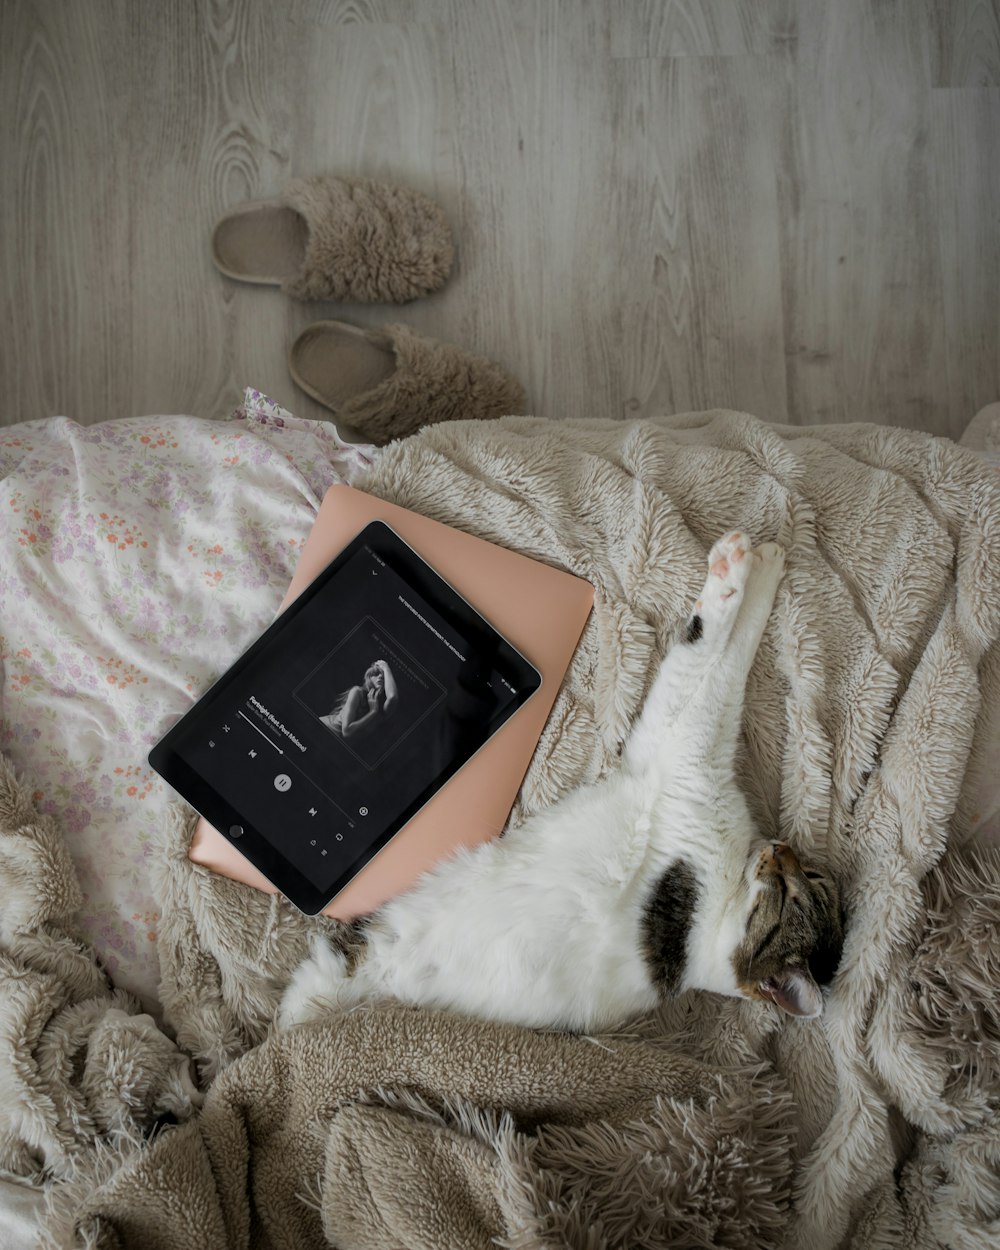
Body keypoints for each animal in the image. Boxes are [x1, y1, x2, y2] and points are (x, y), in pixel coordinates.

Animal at [278, 532, 845, 1030]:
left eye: (802, 892)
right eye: (816, 881)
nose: (783, 849)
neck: (718, 916)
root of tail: (380, 976)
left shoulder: (684, 745)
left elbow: (716, 656)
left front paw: (738, 569)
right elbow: (733, 650)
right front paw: (767, 564)